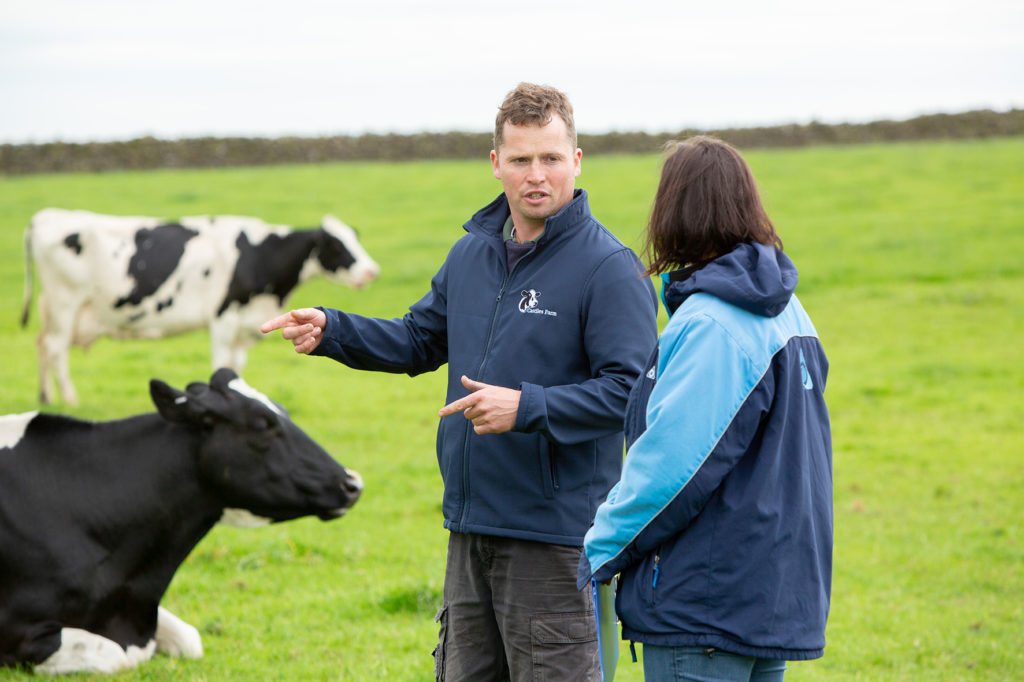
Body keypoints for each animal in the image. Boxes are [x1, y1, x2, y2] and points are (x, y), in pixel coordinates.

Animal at [20, 206, 380, 403]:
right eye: (338, 246)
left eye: (356, 239)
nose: (372, 270)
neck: (258, 254)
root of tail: (45, 217)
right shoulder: (224, 317)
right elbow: (222, 363)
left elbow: (236, 367)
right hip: (65, 302)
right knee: (55, 349)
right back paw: (70, 400)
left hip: (53, 306)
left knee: (41, 345)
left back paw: (46, 397)